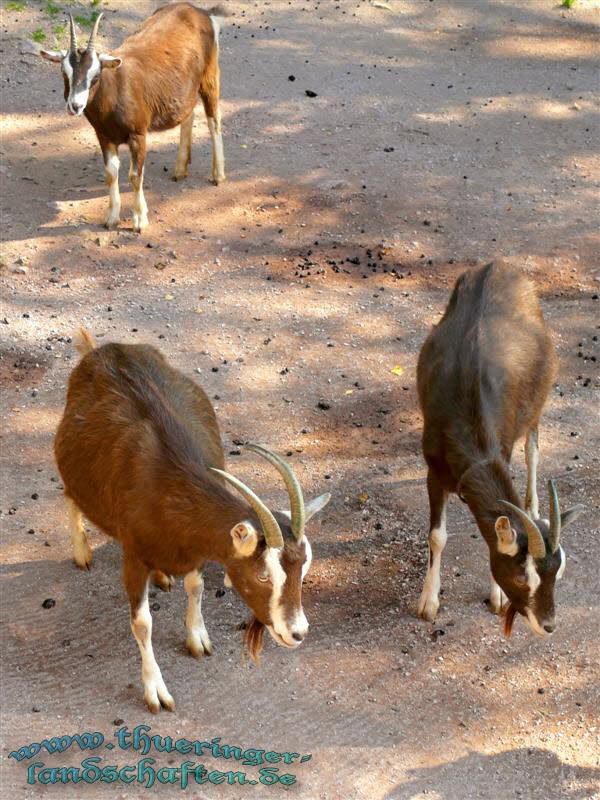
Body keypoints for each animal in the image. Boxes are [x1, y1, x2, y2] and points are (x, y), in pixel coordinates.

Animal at [39, 3, 226, 231]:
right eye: (64, 72)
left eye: (96, 75)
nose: (75, 105)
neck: (115, 88)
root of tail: (198, 11)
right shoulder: (104, 136)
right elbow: (111, 174)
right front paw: (111, 218)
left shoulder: (138, 134)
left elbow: (135, 176)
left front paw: (139, 220)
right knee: (188, 114)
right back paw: (180, 169)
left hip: (210, 76)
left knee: (214, 118)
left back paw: (218, 175)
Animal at [54, 328, 330, 708]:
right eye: (262, 575)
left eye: (303, 570)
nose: (298, 632)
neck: (170, 484)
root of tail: (102, 349)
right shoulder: (133, 555)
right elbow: (142, 623)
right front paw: (155, 690)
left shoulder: (196, 549)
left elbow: (196, 586)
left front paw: (197, 637)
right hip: (71, 469)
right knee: (71, 497)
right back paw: (82, 551)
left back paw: (162, 576)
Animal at [414, 262, 584, 636]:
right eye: (523, 577)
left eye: (559, 571)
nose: (548, 625)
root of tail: (499, 265)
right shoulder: (434, 469)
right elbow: (437, 536)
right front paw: (428, 602)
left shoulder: (501, 452)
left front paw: (497, 598)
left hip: (539, 397)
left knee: (533, 449)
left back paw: (534, 505)